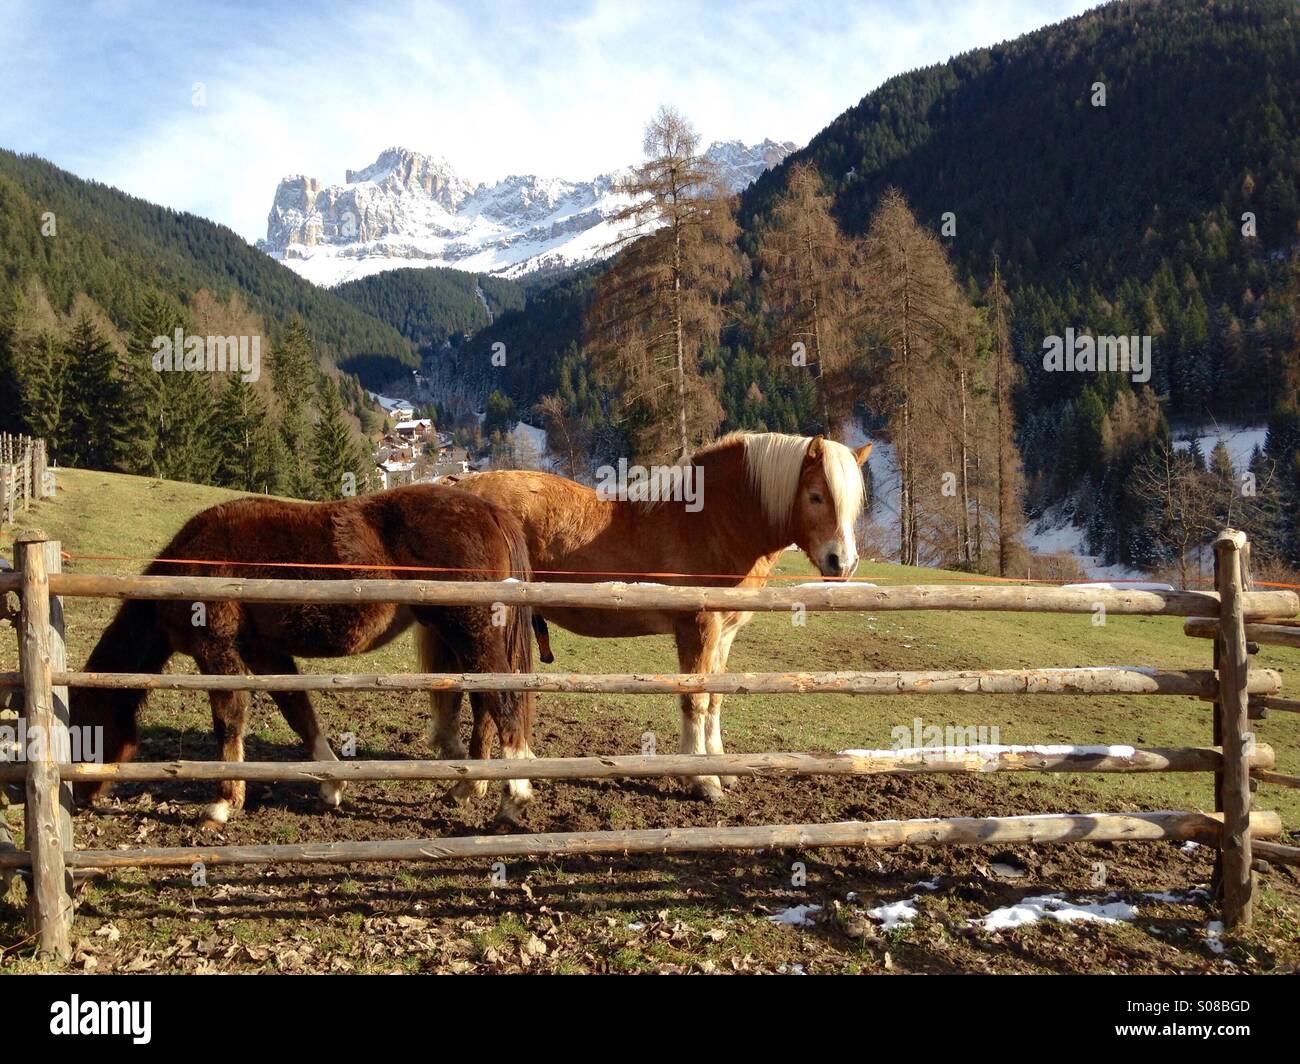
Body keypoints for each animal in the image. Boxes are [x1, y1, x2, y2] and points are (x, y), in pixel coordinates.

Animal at [70, 484, 539, 828]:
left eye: (83, 728)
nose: (80, 799)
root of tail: (491, 511)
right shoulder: (264, 653)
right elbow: (299, 713)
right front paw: (330, 786)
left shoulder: (216, 650)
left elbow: (229, 720)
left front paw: (222, 804)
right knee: (485, 706)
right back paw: (467, 788)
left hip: (471, 632)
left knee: (504, 703)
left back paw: (513, 799)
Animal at [435, 432, 870, 801]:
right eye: (816, 496)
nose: (843, 563)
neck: (713, 521)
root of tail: (463, 490)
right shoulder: (698, 629)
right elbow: (695, 700)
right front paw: (703, 780)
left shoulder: (724, 634)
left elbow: (715, 699)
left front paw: (722, 767)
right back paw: (471, 785)